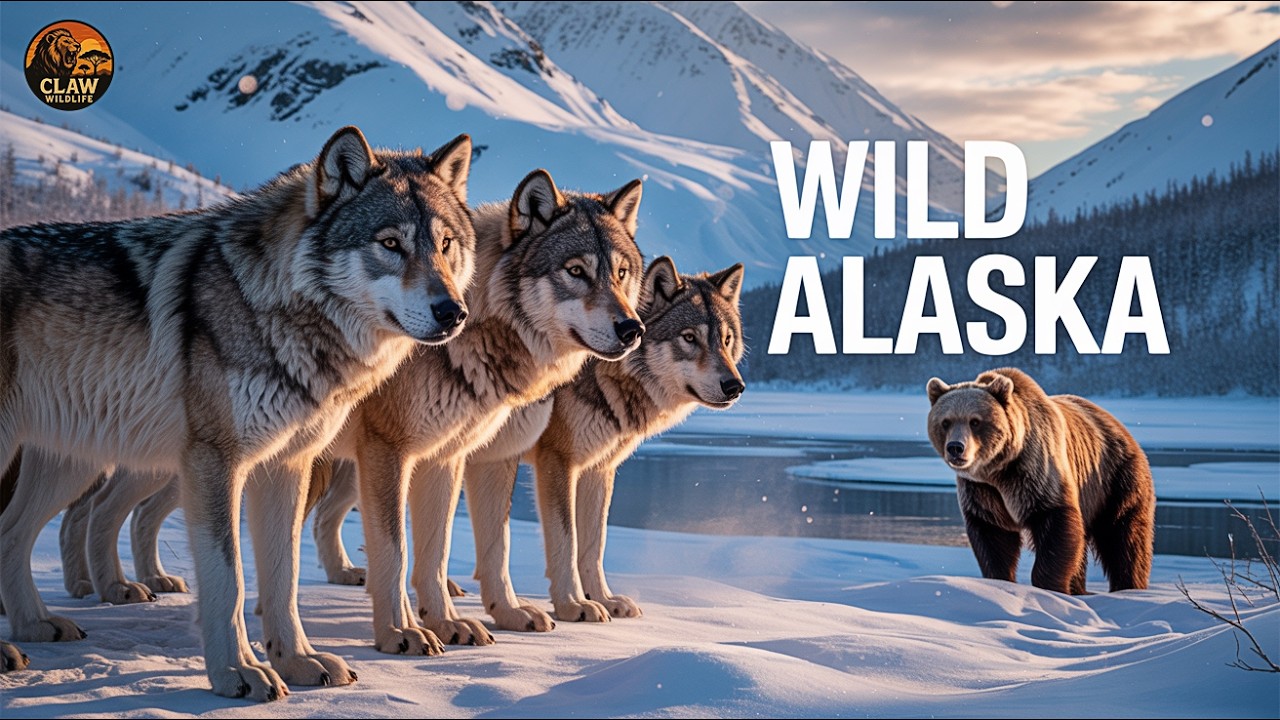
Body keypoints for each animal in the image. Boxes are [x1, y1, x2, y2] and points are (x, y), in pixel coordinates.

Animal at [0, 127, 475, 701]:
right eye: (390, 244)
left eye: (445, 245)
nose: (453, 312)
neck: (278, 304)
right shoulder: (216, 463)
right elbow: (230, 579)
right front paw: (237, 674)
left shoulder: (285, 466)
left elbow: (283, 575)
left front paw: (296, 661)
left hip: (72, 463)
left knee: (10, 534)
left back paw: (33, 626)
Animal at [308, 169, 645, 653]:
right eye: (576, 271)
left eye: (621, 273)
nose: (633, 328)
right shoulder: (394, 451)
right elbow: (401, 549)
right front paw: (402, 632)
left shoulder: (484, 458)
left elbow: (486, 547)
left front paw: (496, 615)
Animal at [462, 257, 745, 624]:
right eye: (689, 338)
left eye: (726, 339)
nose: (735, 386)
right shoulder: (558, 462)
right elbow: (567, 542)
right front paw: (573, 605)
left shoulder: (599, 469)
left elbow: (594, 545)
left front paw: (604, 599)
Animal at [925, 367, 1154, 594]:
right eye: (945, 422)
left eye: (975, 421)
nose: (956, 447)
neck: (999, 469)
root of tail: (1119, 426)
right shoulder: (982, 490)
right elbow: (993, 537)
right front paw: (999, 582)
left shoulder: (1036, 473)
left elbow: (1056, 525)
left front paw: (1050, 587)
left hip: (1115, 479)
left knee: (1124, 539)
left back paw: (1129, 587)